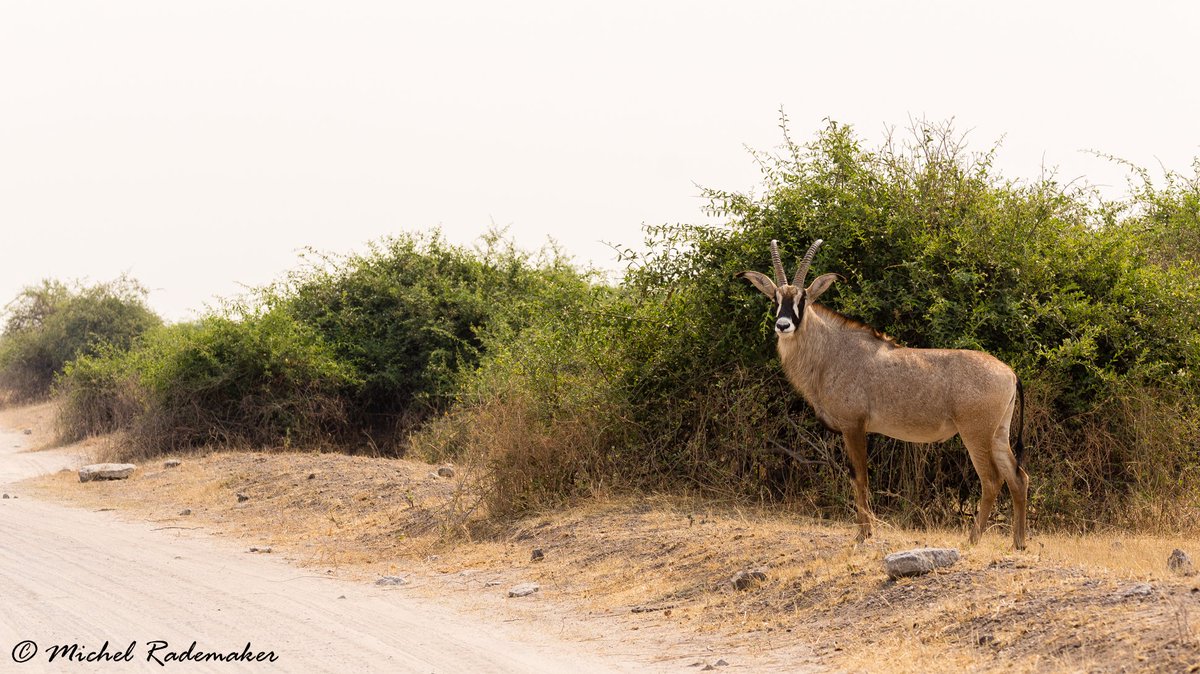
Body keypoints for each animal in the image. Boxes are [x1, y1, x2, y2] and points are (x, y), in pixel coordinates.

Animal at [734, 238, 1027, 549]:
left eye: (802, 298)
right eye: (775, 299)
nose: (783, 325)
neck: (831, 352)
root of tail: (1010, 373)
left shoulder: (853, 426)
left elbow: (859, 476)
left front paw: (864, 533)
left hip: (976, 434)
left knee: (992, 480)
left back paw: (972, 540)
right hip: (998, 434)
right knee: (1018, 477)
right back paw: (1018, 543)